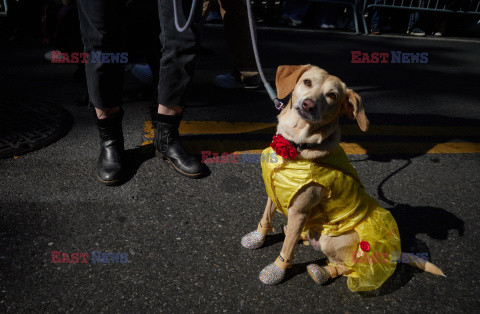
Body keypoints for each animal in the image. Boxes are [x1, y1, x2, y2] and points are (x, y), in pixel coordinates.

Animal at [242, 64, 444, 292]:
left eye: (332, 96)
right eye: (307, 82)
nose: (309, 105)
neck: (295, 147)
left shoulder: (299, 211)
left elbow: (287, 249)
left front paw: (277, 270)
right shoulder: (273, 189)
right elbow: (266, 217)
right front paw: (258, 237)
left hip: (331, 241)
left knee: (348, 267)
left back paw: (321, 272)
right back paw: (302, 236)